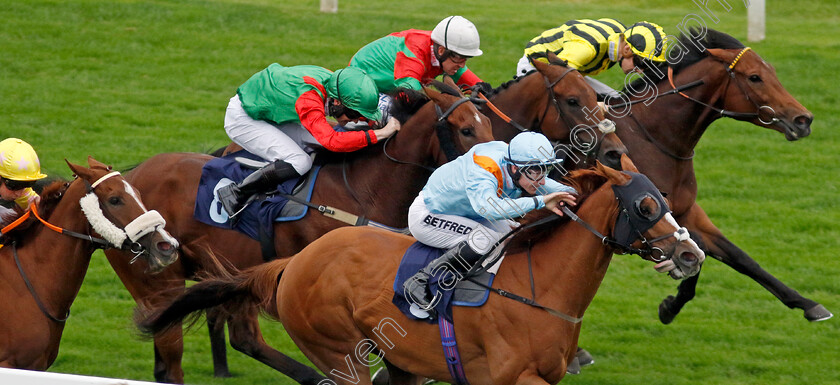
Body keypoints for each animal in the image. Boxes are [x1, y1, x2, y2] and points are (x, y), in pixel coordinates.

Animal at [106, 82, 498, 382]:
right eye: (466, 130)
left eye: (491, 128)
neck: (363, 189)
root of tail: (130, 178)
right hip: (159, 280)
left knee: (239, 339)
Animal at [136, 154, 704, 384]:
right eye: (646, 207)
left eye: (665, 198)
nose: (690, 255)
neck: (542, 290)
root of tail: (294, 263)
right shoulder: (512, 378)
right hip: (341, 356)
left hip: (401, 364)